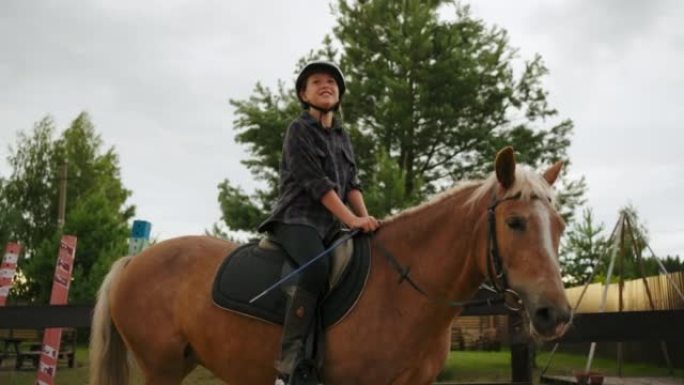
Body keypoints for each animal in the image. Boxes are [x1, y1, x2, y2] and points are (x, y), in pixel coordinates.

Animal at [89, 147, 572, 384]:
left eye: (561, 225)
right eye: (514, 223)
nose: (557, 314)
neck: (401, 287)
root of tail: (133, 261)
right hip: (161, 367)